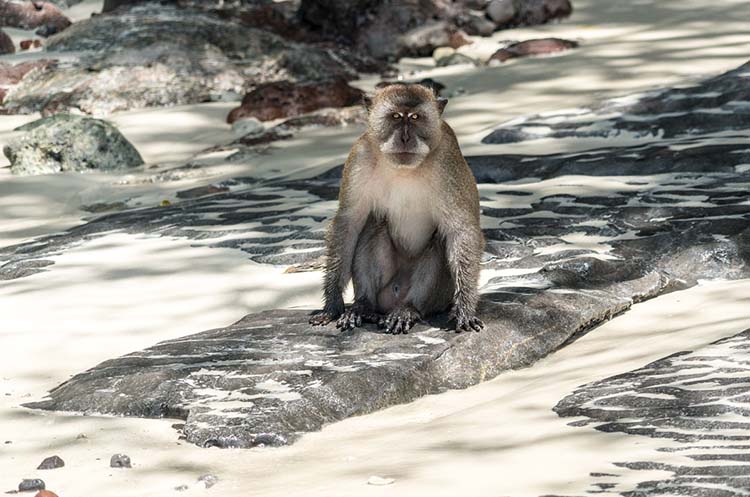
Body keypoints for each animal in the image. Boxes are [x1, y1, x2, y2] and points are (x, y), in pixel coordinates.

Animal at [308, 82, 484, 334]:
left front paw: (465, 309)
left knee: (439, 240)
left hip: (438, 298)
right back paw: (363, 306)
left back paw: (407, 309)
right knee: (374, 223)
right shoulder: (359, 155)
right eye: (396, 116)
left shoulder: (447, 160)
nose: (405, 138)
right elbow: (348, 223)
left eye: (415, 117)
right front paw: (332, 305)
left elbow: (461, 230)